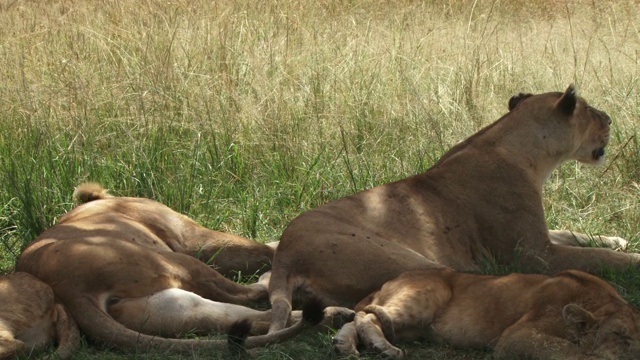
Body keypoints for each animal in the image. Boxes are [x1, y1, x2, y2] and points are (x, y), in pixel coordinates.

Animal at [14, 184, 302, 352]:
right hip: (178, 260)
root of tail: (69, 291)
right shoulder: (192, 238)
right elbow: (265, 248)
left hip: (171, 308)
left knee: (239, 317)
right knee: (250, 294)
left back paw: (311, 316)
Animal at [336, 268, 640, 358]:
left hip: (413, 328)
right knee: (368, 316)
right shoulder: (514, 336)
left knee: (357, 318)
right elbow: (564, 348)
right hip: (429, 294)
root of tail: (392, 278)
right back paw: (384, 347)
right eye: (620, 336)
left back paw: (344, 345)